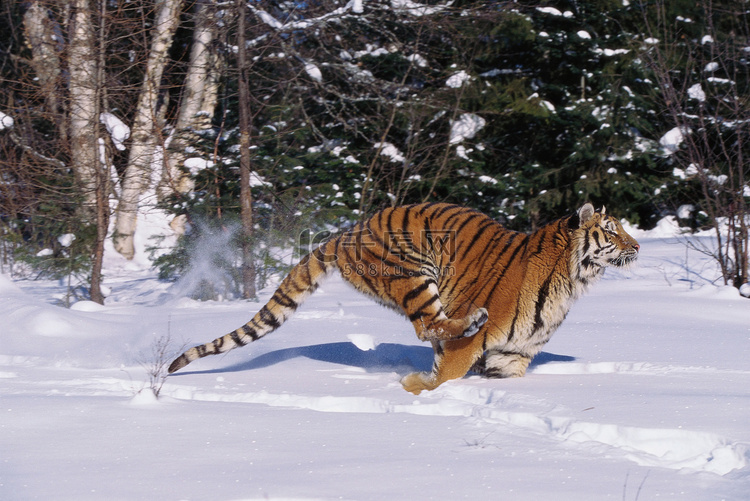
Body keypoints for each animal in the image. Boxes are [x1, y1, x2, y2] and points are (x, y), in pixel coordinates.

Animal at [170, 201, 640, 392]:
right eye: (612, 231)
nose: (637, 246)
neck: (572, 280)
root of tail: (348, 231)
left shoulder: (512, 357)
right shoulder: (473, 349)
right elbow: (447, 375)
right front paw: (419, 389)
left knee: (428, 328)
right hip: (414, 272)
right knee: (429, 324)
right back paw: (468, 321)